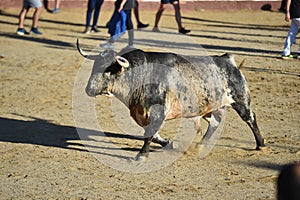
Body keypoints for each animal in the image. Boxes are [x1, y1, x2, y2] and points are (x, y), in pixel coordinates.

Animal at [77, 39, 264, 161]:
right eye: (95, 66)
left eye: (108, 71)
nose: (89, 89)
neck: (143, 74)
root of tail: (227, 59)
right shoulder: (142, 113)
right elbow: (152, 134)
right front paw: (169, 143)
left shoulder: (158, 112)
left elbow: (149, 134)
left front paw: (141, 155)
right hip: (208, 108)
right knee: (215, 123)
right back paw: (200, 145)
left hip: (240, 100)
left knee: (250, 118)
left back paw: (260, 144)